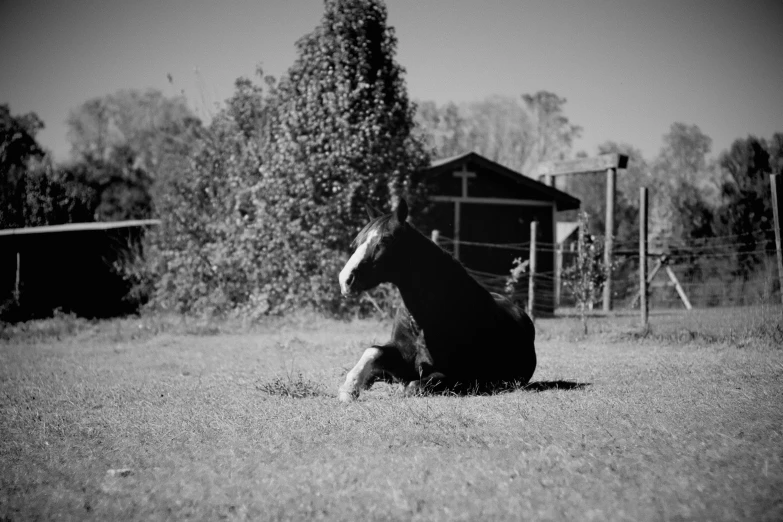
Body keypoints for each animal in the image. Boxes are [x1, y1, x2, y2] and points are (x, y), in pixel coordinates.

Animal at [340, 198, 536, 398]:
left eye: (385, 239)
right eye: (356, 242)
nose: (345, 280)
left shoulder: (457, 376)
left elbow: (413, 385)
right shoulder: (401, 356)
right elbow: (373, 351)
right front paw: (350, 388)